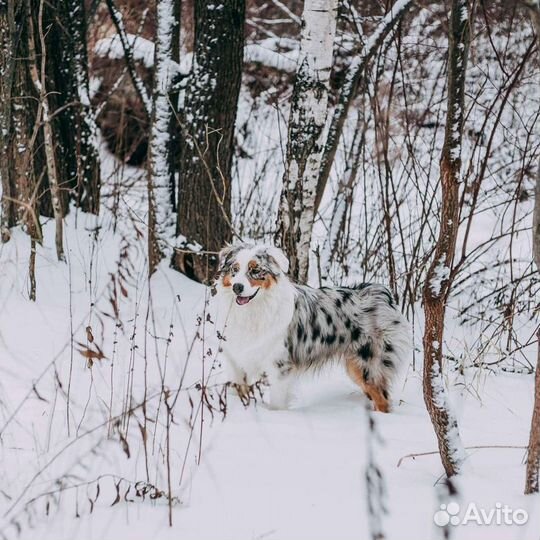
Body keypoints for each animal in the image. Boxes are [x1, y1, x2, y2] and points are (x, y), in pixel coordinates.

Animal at [215, 243, 410, 412]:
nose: (237, 287)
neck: (252, 310)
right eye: (234, 270)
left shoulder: (279, 366)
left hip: (366, 365)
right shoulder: (236, 361)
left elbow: (277, 402)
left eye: (255, 270)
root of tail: (382, 294)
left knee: (383, 401)